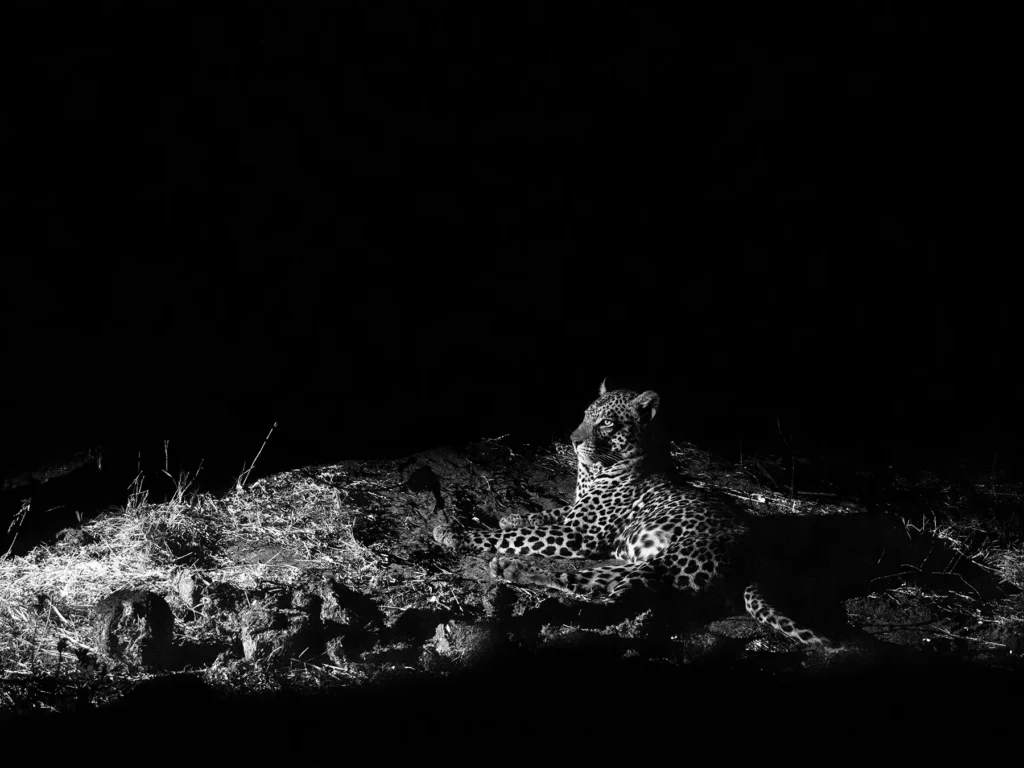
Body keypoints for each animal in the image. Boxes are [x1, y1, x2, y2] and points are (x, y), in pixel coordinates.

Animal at [433, 381, 833, 648]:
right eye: (584, 416)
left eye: (607, 424)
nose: (572, 440)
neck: (596, 468)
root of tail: (758, 561)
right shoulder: (575, 516)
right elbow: (550, 512)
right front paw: (516, 516)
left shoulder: (579, 535)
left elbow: (511, 537)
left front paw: (455, 533)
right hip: (645, 562)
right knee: (587, 579)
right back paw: (510, 570)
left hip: (673, 560)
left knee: (614, 599)